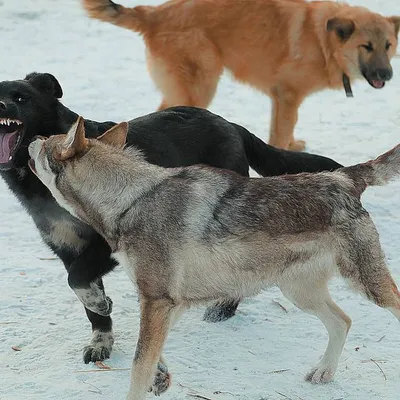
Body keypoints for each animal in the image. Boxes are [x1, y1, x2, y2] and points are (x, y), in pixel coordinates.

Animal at [0, 71, 344, 362]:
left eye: (21, 97)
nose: (2, 104)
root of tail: (230, 125)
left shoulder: (107, 244)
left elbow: (78, 279)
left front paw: (100, 304)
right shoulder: (67, 248)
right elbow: (85, 295)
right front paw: (100, 340)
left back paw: (224, 307)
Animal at [28, 116, 400, 400]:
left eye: (48, 140)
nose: (32, 138)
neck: (131, 200)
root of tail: (344, 177)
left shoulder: (157, 301)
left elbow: (137, 368)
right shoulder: (167, 303)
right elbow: (152, 356)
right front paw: (161, 378)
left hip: (367, 286)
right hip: (299, 292)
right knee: (343, 321)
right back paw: (323, 373)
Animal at [82, 0, 400, 151]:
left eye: (388, 45)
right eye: (366, 46)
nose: (387, 74)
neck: (324, 40)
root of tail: (153, 13)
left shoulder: (283, 99)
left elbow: (287, 128)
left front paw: (292, 145)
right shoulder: (288, 95)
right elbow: (280, 132)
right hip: (202, 85)